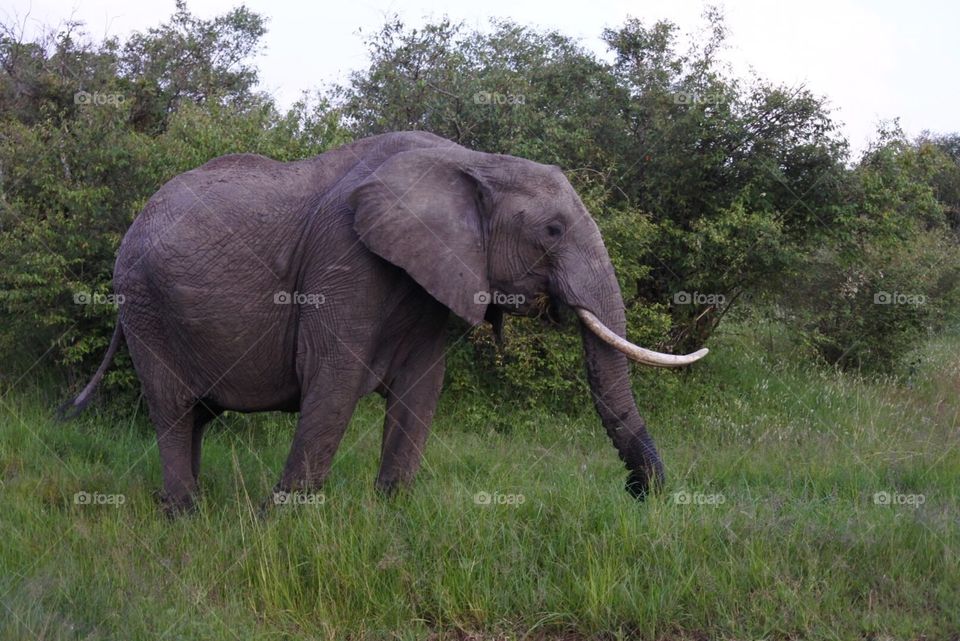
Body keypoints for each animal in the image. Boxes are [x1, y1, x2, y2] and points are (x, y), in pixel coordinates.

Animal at [61, 131, 708, 515]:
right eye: (551, 231)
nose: (636, 495)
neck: (473, 161)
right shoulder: (343, 258)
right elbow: (334, 381)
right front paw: (280, 523)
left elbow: (422, 388)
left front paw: (392, 512)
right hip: (143, 303)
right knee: (173, 409)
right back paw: (186, 518)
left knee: (195, 415)